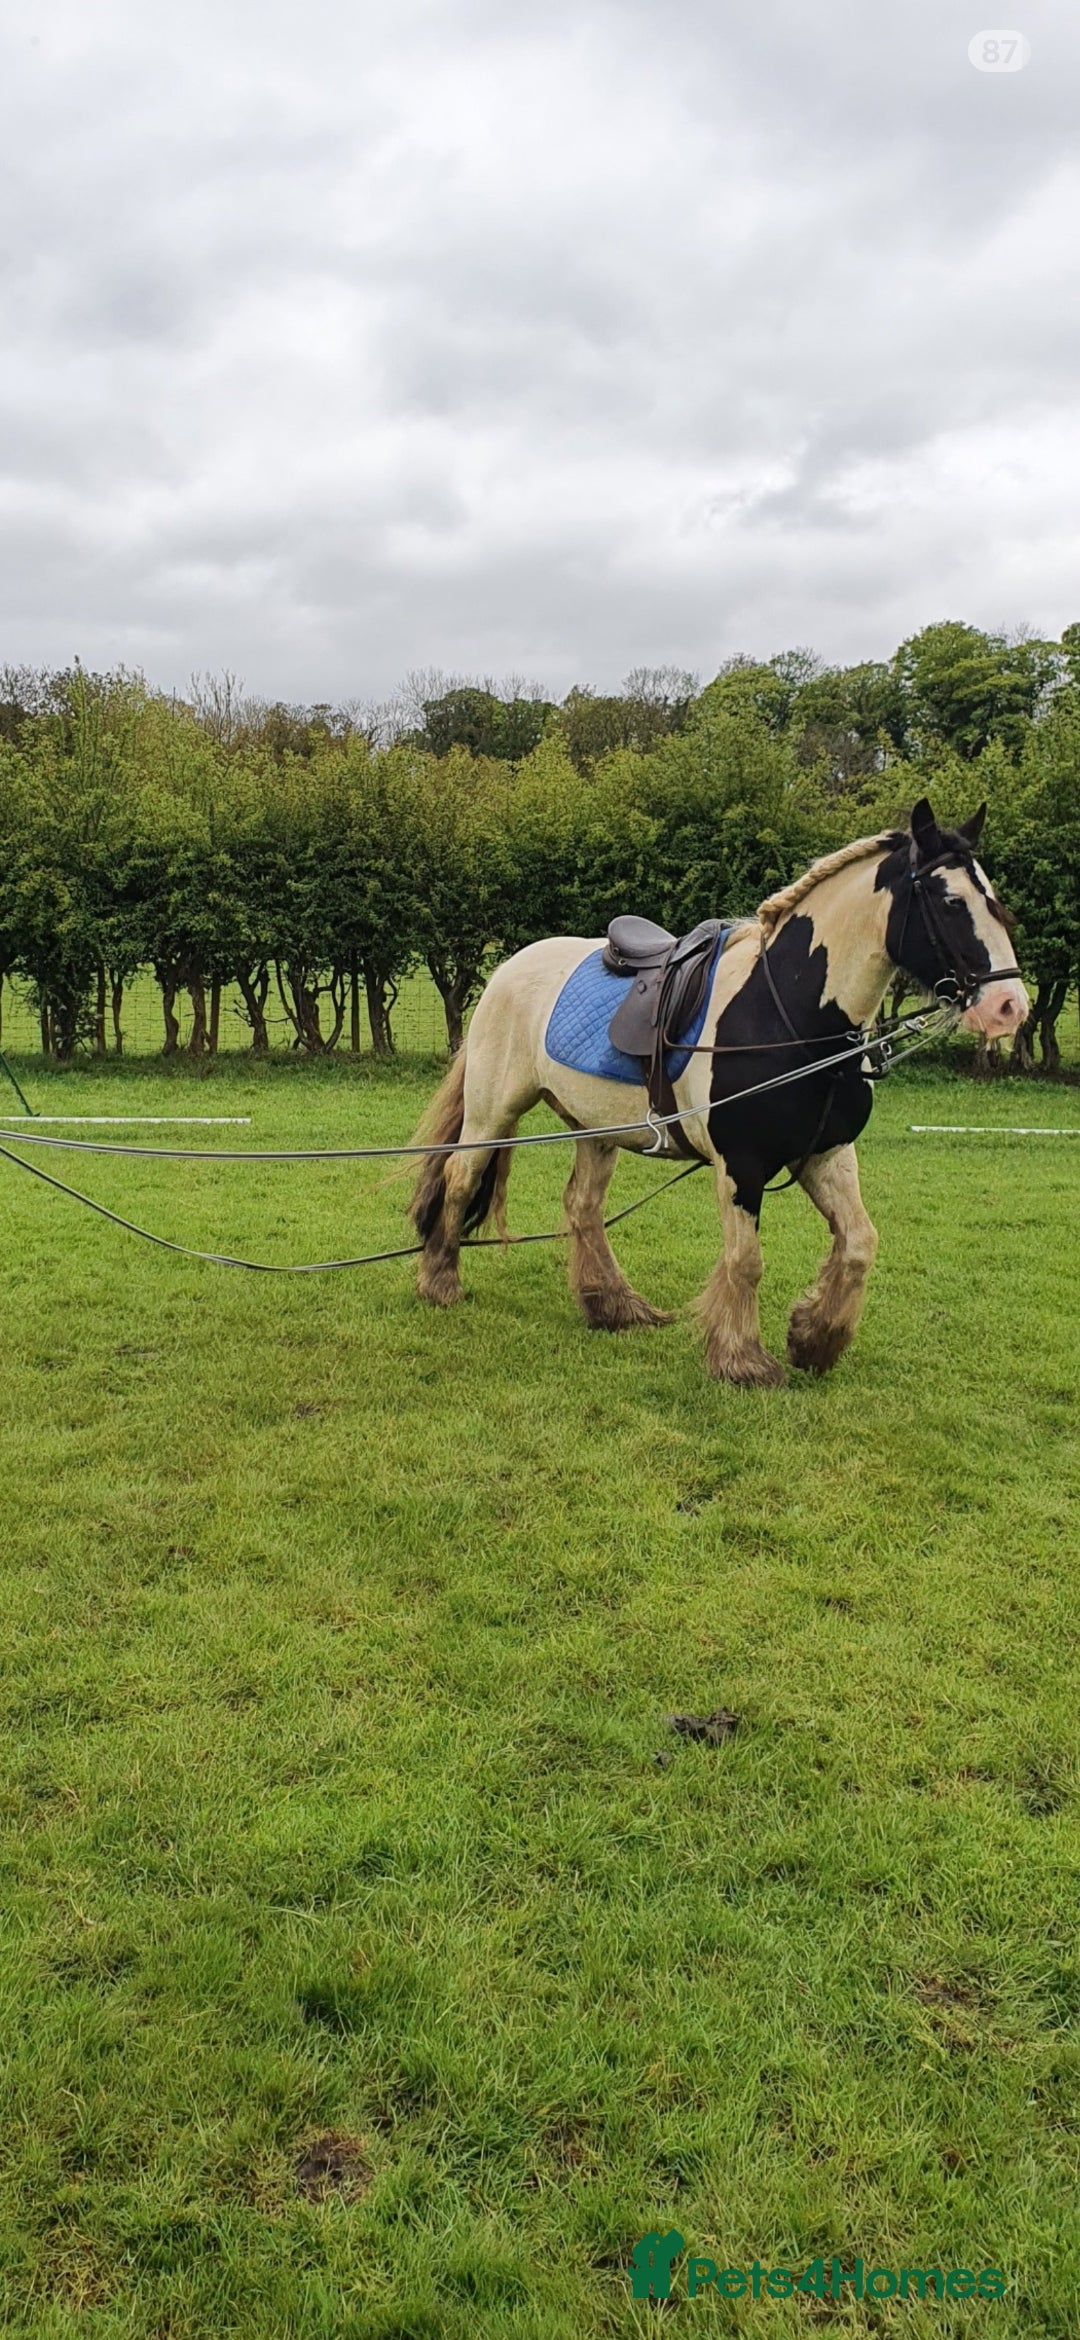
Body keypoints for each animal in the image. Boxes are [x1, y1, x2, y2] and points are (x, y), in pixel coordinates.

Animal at [409, 798, 1027, 1386]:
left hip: (596, 1128)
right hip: (492, 1112)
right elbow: (746, 1260)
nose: (1009, 1007)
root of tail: (510, 967)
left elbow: (859, 1244)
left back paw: (613, 1306)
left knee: (582, 1206)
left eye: (996, 900)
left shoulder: (826, 1154)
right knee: (459, 1177)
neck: (790, 1016)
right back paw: (440, 1282)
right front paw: (741, 1360)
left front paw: (814, 1339)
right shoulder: (742, 1164)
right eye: (950, 902)